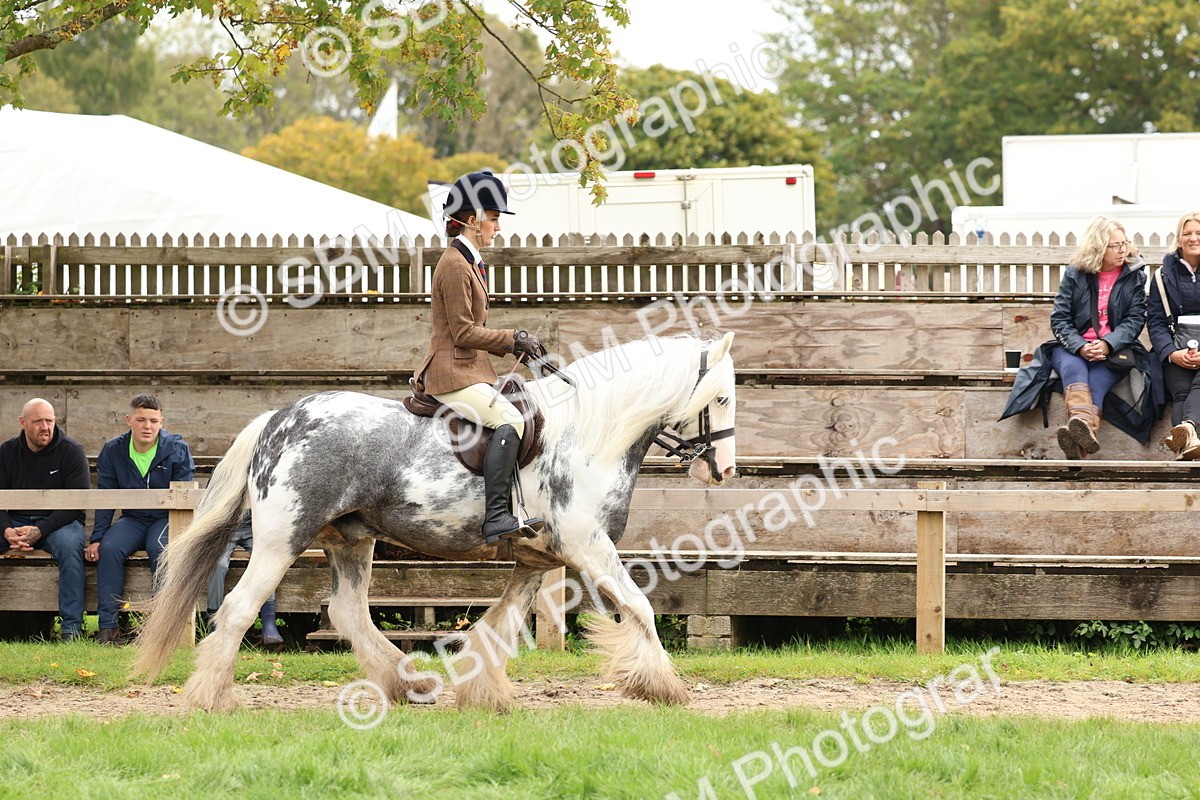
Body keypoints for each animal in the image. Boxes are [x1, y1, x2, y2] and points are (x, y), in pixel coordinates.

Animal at [134, 332, 737, 713]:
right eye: (724, 398)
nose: (724, 469)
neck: (587, 435)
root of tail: (277, 419)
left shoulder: (537, 557)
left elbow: (500, 625)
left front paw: (484, 694)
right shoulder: (588, 547)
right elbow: (639, 607)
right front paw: (663, 687)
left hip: (350, 540)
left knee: (348, 612)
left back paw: (409, 684)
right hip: (283, 540)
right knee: (239, 608)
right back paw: (211, 698)